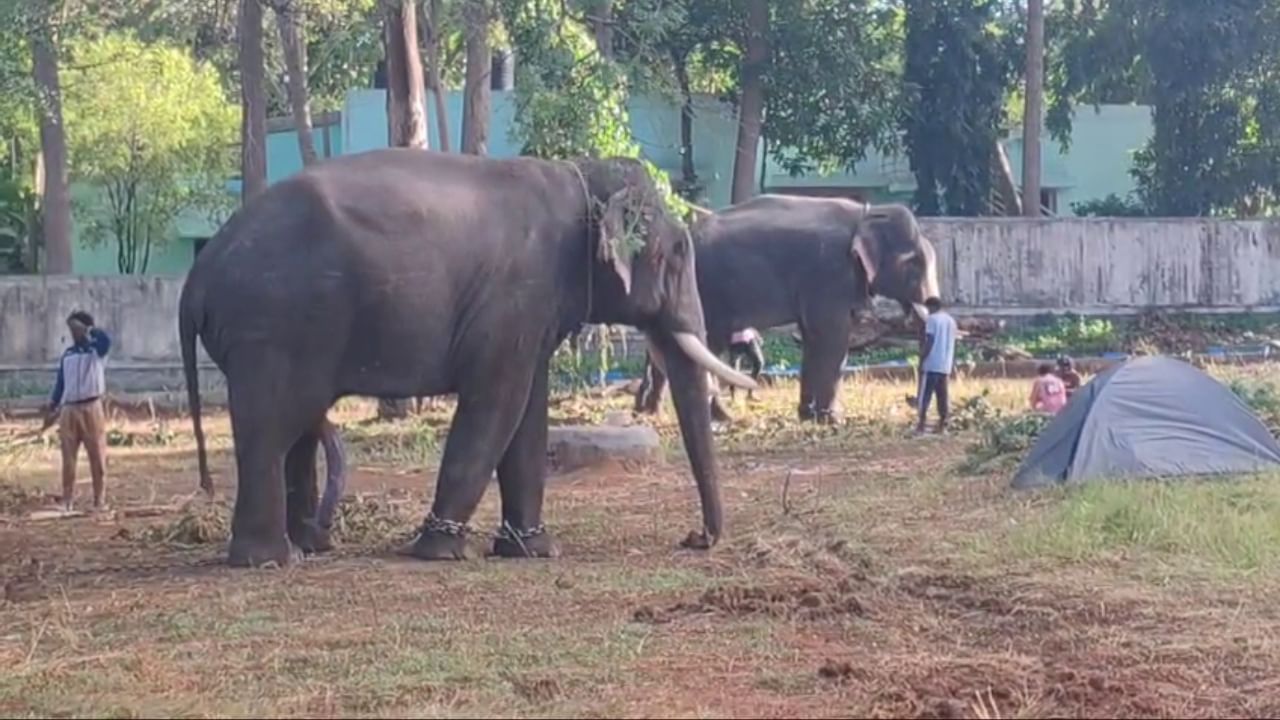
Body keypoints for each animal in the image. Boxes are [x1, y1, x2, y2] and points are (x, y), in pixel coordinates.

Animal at [179, 149, 747, 566]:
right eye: (676, 253)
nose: (694, 538)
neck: (580, 173)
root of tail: (198, 275)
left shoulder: (531, 314)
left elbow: (528, 413)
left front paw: (533, 550)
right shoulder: (515, 297)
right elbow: (498, 403)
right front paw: (441, 551)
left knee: (294, 428)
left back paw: (312, 546)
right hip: (274, 325)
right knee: (272, 427)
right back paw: (270, 560)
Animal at [632, 193, 942, 422]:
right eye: (913, 265)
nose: (910, 401)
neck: (868, 213)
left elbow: (813, 336)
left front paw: (808, 416)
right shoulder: (830, 272)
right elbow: (831, 337)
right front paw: (832, 419)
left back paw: (655, 412)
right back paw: (720, 417)